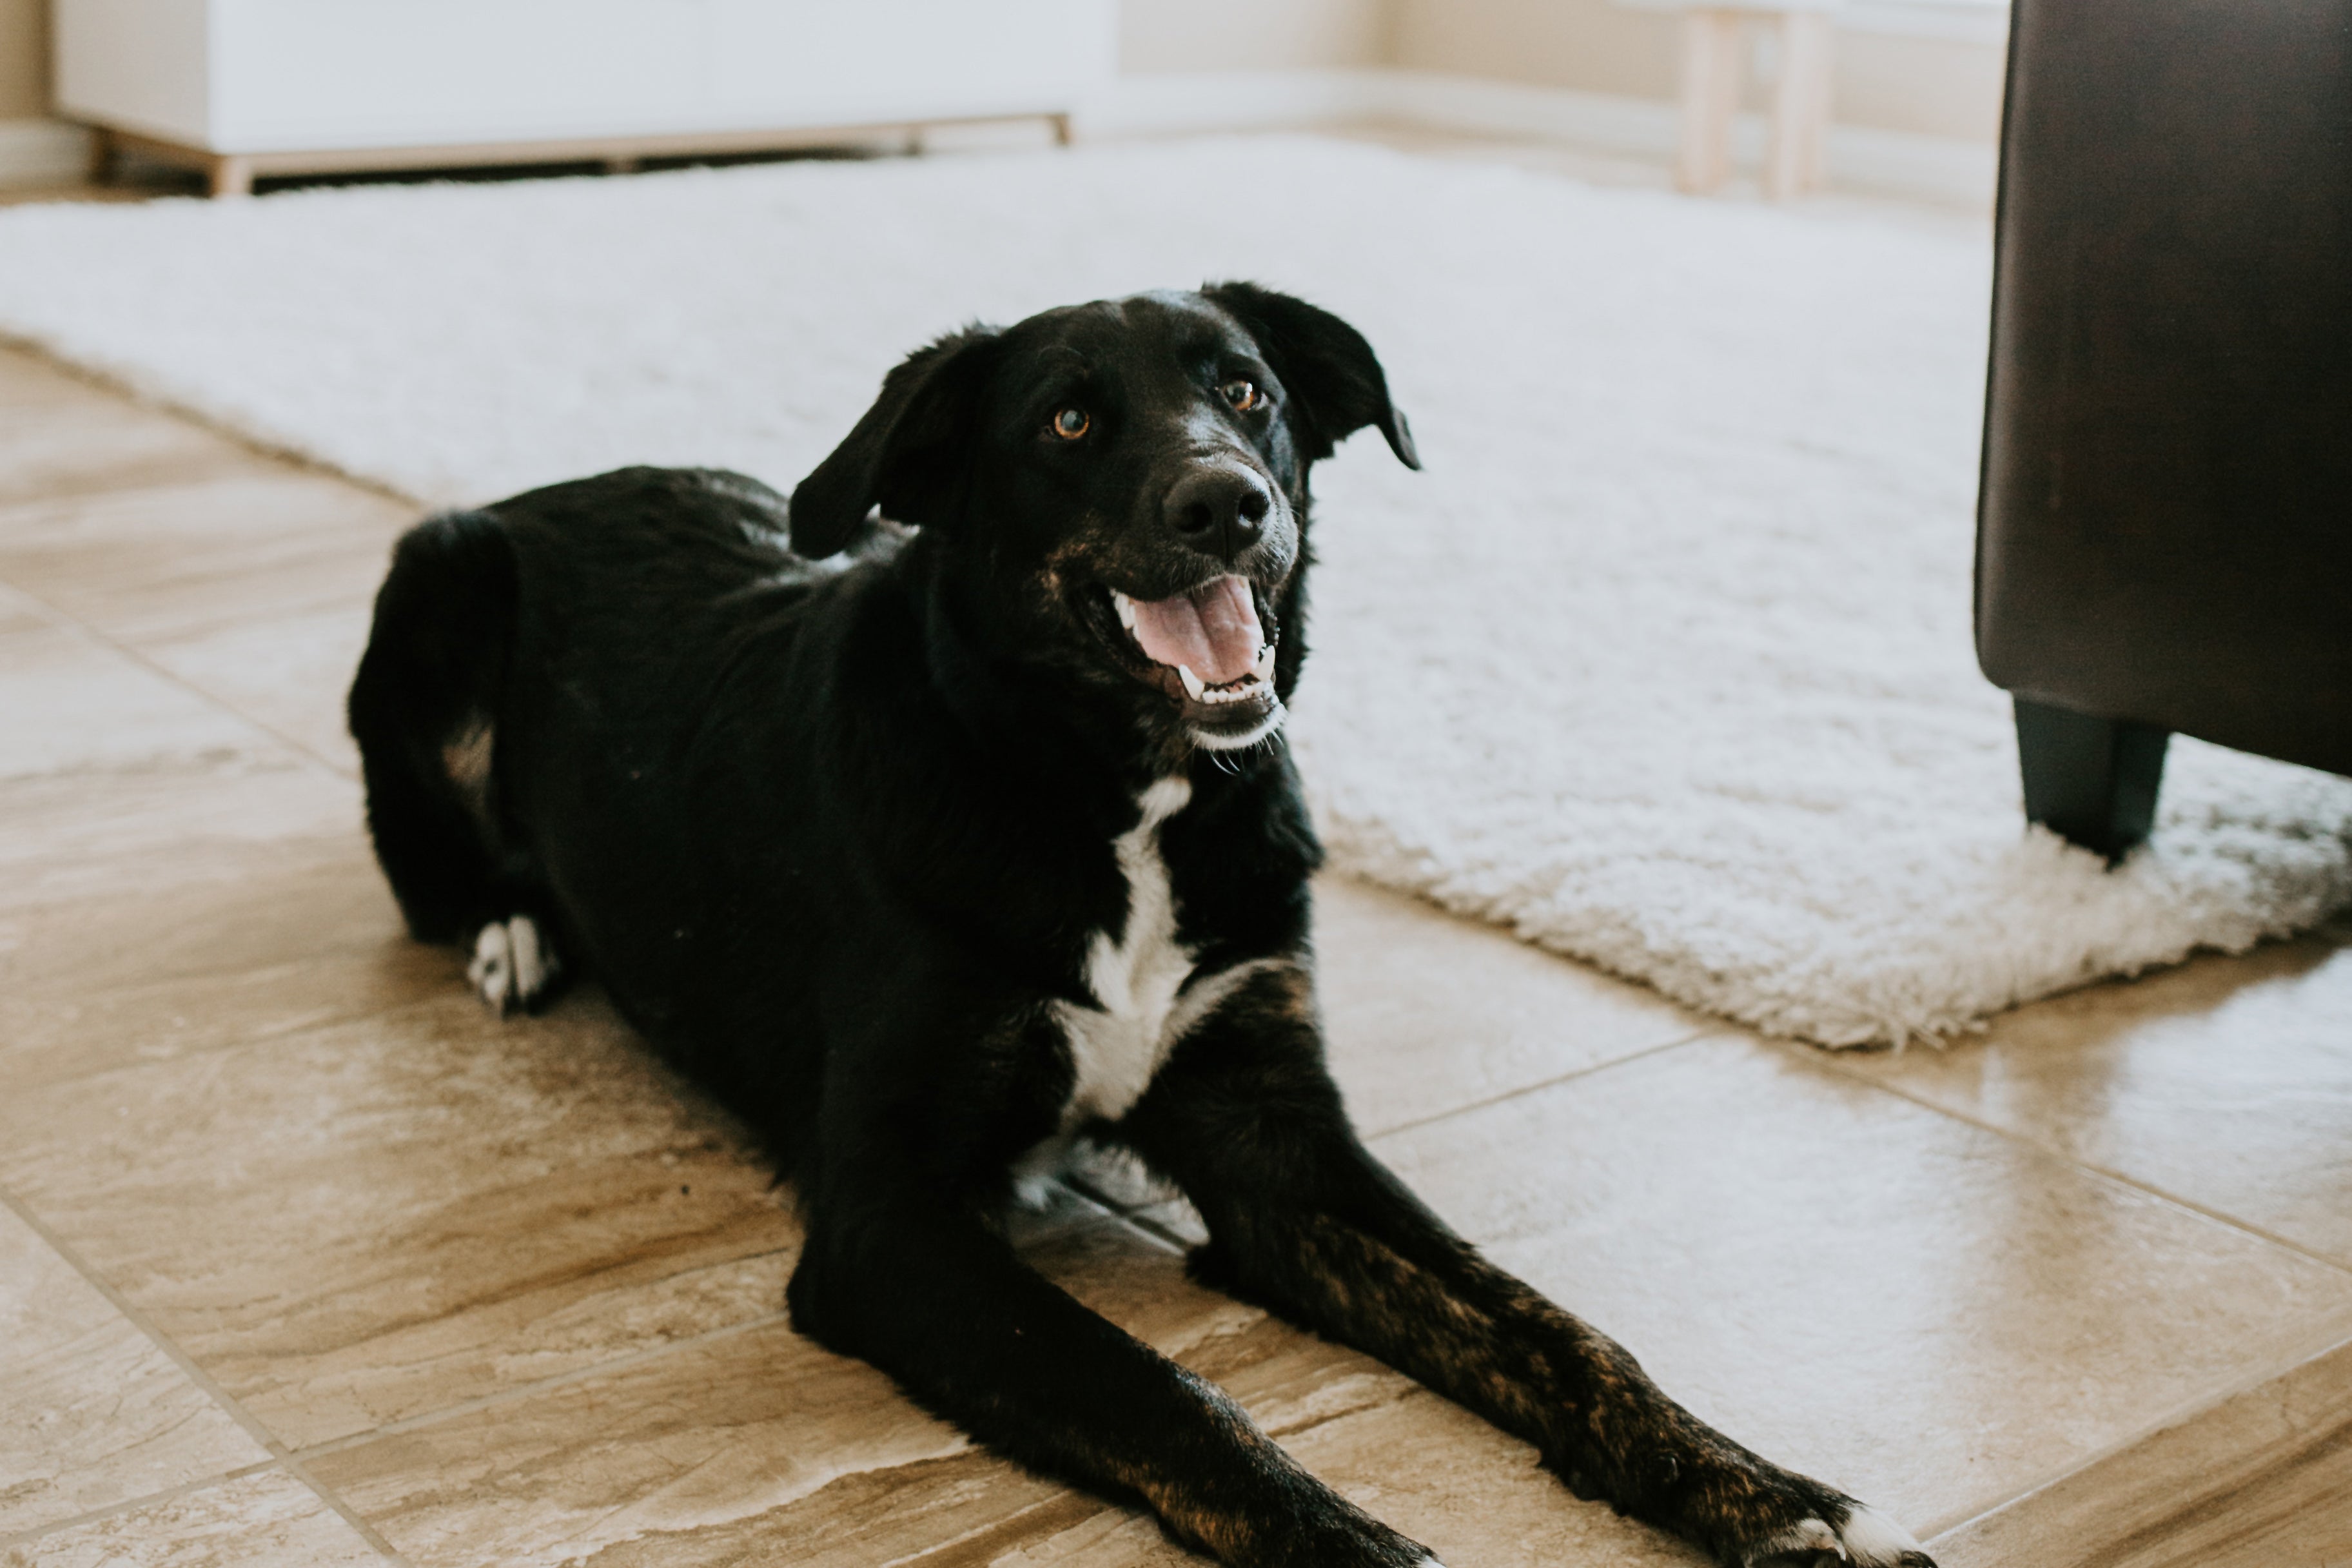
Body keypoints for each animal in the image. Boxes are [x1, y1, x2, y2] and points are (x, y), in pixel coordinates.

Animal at [343, 286, 1928, 1568]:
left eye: (1249, 393)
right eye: (1066, 418)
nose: (1226, 503)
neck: (1113, 797)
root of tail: (551, 486)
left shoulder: (1280, 1137)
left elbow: (1550, 1324)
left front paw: (1769, 1492)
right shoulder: (887, 1219)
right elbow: (1160, 1389)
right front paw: (1354, 1542)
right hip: (435, 583)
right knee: (439, 879)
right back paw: (515, 934)